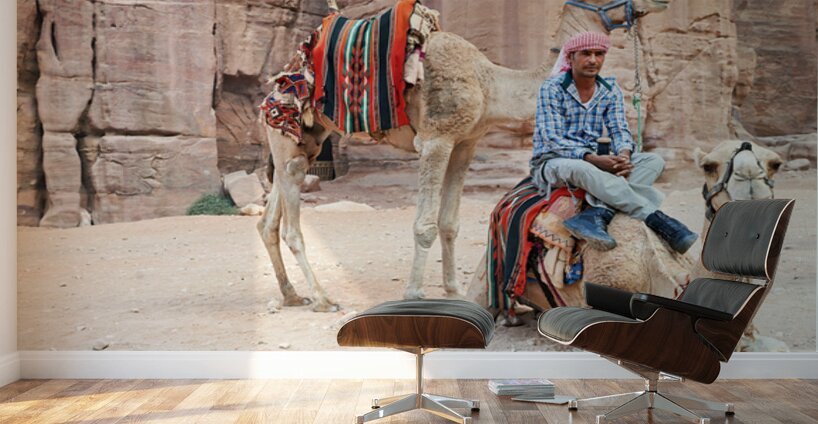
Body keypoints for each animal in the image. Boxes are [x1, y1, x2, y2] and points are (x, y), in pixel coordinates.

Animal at [258, 0, 672, 311]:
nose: (659, 2)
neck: (489, 83)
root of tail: (276, 83)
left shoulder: (466, 142)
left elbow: (450, 223)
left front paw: (454, 290)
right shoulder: (437, 138)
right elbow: (425, 225)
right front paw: (414, 294)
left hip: (308, 138)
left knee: (271, 213)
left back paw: (291, 295)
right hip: (285, 133)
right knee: (291, 215)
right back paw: (322, 298)